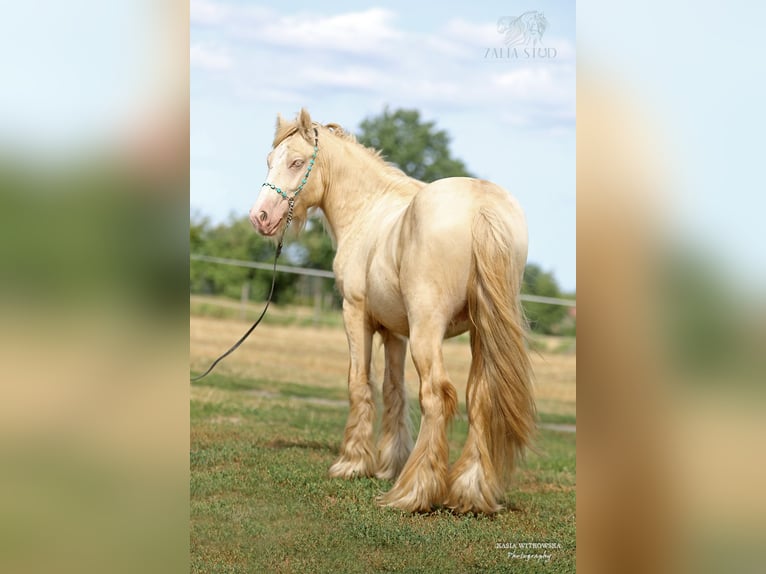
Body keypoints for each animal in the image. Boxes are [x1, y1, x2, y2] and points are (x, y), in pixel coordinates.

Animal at [249, 109, 535, 514]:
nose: (259, 217)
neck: (368, 210)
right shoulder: (395, 331)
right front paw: (390, 462)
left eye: (297, 162)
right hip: (481, 332)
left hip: (427, 329)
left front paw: (351, 463)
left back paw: (413, 493)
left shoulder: (356, 314)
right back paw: (468, 493)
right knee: (479, 397)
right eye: (270, 160)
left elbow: (359, 383)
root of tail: (481, 208)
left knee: (437, 395)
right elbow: (394, 389)